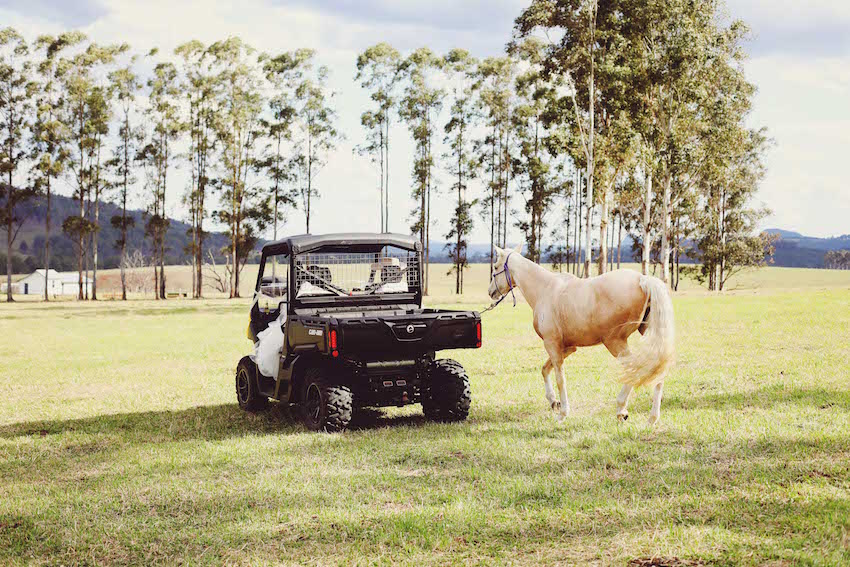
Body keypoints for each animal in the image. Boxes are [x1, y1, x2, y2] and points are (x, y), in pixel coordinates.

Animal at [486, 245, 672, 426]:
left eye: (495, 267)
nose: (490, 292)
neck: (544, 289)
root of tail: (642, 279)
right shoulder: (568, 347)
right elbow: (545, 369)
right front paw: (553, 401)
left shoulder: (552, 344)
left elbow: (560, 379)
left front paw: (562, 414)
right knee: (657, 371)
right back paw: (651, 418)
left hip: (614, 342)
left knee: (637, 368)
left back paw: (621, 409)